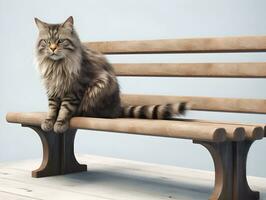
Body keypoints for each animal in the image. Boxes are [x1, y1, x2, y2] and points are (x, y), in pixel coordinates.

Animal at [34, 16, 187, 134]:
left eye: (60, 41)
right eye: (47, 42)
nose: (52, 48)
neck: (56, 66)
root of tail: (117, 108)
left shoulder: (74, 89)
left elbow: (64, 110)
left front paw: (59, 123)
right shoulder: (52, 89)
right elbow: (52, 108)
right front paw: (49, 121)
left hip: (100, 85)